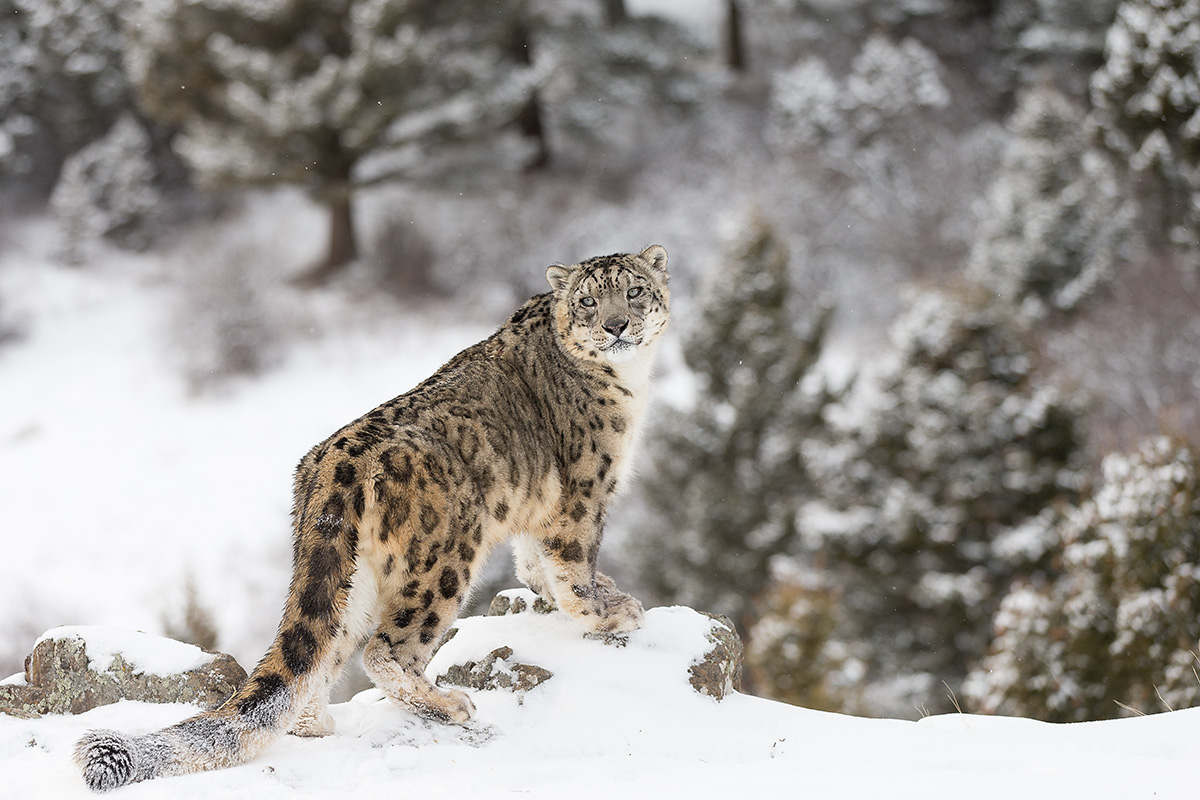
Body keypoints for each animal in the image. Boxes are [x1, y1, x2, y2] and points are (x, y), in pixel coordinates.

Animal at [78, 245, 672, 796]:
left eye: (634, 291)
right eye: (589, 301)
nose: (617, 324)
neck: (630, 383)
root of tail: (331, 466)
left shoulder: (540, 511)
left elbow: (534, 564)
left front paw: (570, 594)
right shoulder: (583, 494)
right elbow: (573, 567)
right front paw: (609, 613)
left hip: (350, 577)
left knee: (325, 650)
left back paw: (317, 723)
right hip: (444, 561)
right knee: (386, 648)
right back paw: (448, 704)